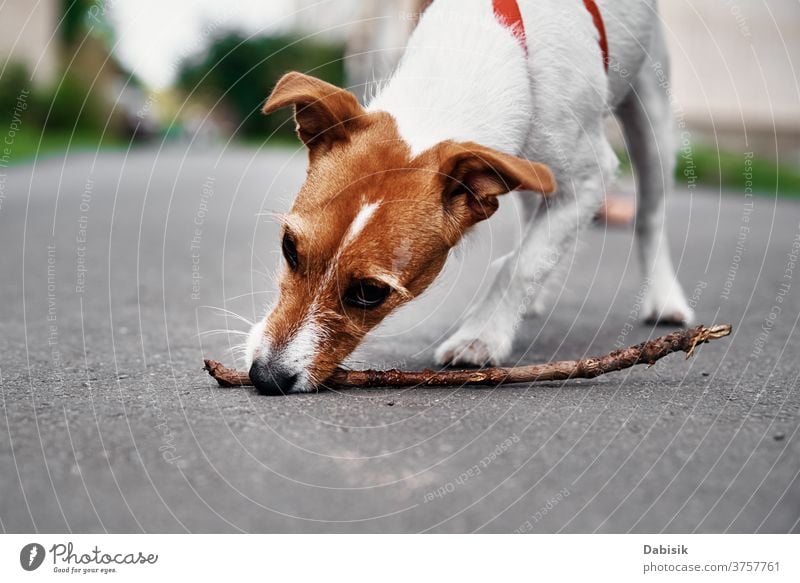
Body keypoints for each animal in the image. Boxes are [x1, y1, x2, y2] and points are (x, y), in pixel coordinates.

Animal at [244, 0, 692, 396]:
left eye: (371, 292)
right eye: (289, 248)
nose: (266, 377)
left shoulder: (588, 179)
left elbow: (523, 265)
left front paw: (482, 336)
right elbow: (532, 251)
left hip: (651, 119)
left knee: (650, 215)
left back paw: (664, 297)